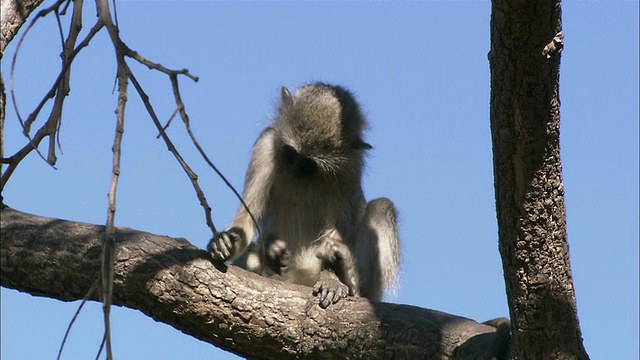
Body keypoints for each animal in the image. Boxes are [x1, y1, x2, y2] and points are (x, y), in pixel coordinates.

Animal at [210, 83, 400, 308]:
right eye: (291, 153)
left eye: (309, 163)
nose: (293, 169)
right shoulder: (265, 145)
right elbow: (248, 215)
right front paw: (226, 242)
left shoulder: (350, 170)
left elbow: (337, 230)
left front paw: (333, 278)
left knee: (382, 206)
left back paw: (350, 279)